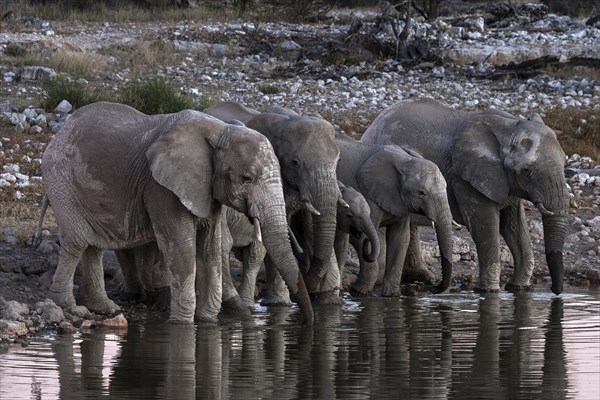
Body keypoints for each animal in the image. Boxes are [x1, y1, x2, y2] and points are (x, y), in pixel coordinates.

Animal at [41, 101, 314, 324]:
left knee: (94, 244)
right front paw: (182, 323)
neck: (220, 130)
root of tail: (59, 133)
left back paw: (103, 307)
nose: (308, 323)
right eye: (247, 178)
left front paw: (206, 320)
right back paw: (65, 304)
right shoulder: (161, 188)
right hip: (61, 181)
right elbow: (181, 245)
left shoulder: (207, 191)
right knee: (77, 241)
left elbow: (211, 247)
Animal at [206, 101, 344, 298]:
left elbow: (311, 223)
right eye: (295, 163)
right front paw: (281, 300)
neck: (285, 121)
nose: (310, 288)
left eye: (338, 160)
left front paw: (330, 298)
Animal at [336, 133, 452, 296]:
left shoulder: (401, 202)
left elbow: (400, 238)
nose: (432, 288)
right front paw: (360, 292)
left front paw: (391, 296)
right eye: (421, 193)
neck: (405, 160)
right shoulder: (369, 194)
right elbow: (366, 236)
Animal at [358, 98, 568, 296]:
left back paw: (422, 278)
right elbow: (484, 226)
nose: (556, 292)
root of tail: (371, 126)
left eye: (565, 162)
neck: (508, 127)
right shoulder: (465, 179)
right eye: (526, 170)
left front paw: (518, 288)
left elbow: (514, 225)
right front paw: (489, 291)